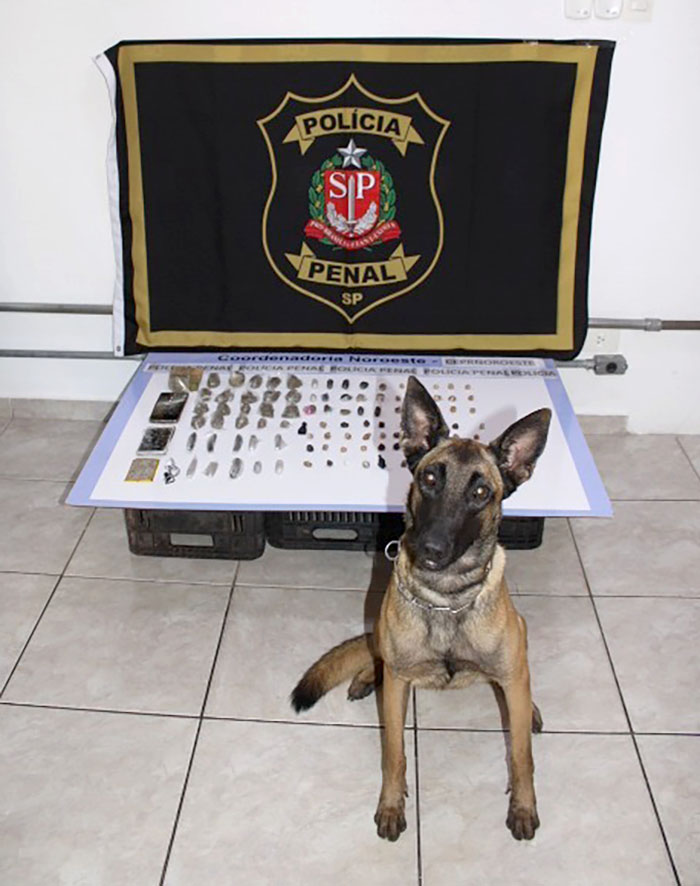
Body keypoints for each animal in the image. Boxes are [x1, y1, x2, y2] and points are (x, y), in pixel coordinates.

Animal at [291, 375, 551, 843]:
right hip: (383, 639)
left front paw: (523, 806)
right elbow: (393, 752)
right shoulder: (397, 690)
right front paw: (392, 805)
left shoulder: (510, 678)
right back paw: (366, 676)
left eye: (481, 492)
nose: (430, 549)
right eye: (430, 477)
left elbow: (521, 755)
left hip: (519, 642)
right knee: (377, 656)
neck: (445, 599)